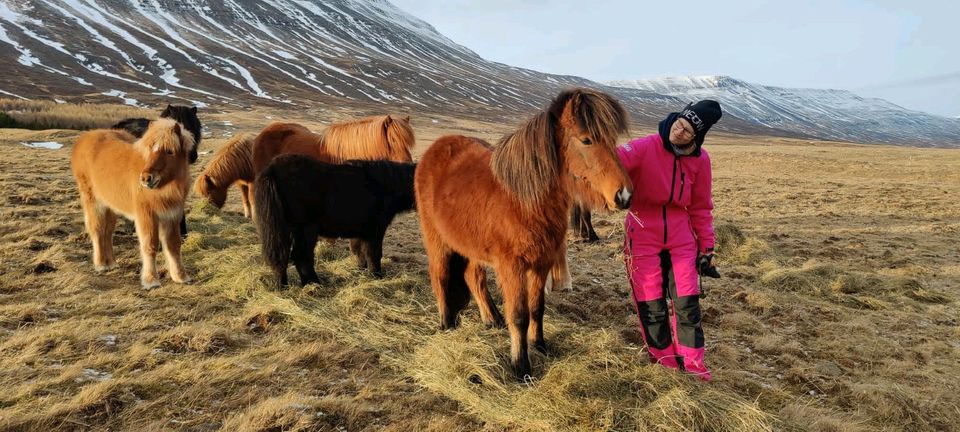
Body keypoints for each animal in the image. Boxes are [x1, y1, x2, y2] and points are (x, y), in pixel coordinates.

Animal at [73, 116, 199, 288]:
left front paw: (180, 276)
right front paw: (151, 280)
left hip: (110, 205)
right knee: (97, 230)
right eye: (150, 148)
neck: (165, 188)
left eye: (169, 151)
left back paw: (111, 263)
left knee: (108, 232)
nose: (146, 178)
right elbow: (150, 245)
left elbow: (173, 245)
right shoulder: (147, 216)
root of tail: (85, 138)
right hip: (93, 202)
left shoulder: (171, 216)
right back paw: (100, 265)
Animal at [255, 154, 416, 288]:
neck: (386, 185)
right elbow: (374, 254)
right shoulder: (375, 230)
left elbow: (359, 252)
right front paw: (376, 277)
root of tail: (272, 168)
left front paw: (361, 271)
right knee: (301, 256)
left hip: (284, 229)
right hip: (305, 229)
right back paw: (314, 284)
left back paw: (283, 287)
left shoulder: (361, 232)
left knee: (281, 256)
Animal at [416, 89, 632, 380]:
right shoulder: (512, 267)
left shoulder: (541, 264)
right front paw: (520, 366)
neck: (524, 200)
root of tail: (435, 149)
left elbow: (537, 308)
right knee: (440, 276)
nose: (624, 195)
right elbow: (519, 315)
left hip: (471, 246)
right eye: (586, 140)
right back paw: (446, 323)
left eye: (612, 139)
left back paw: (492, 320)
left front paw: (538, 344)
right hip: (437, 240)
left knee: (473, 277)